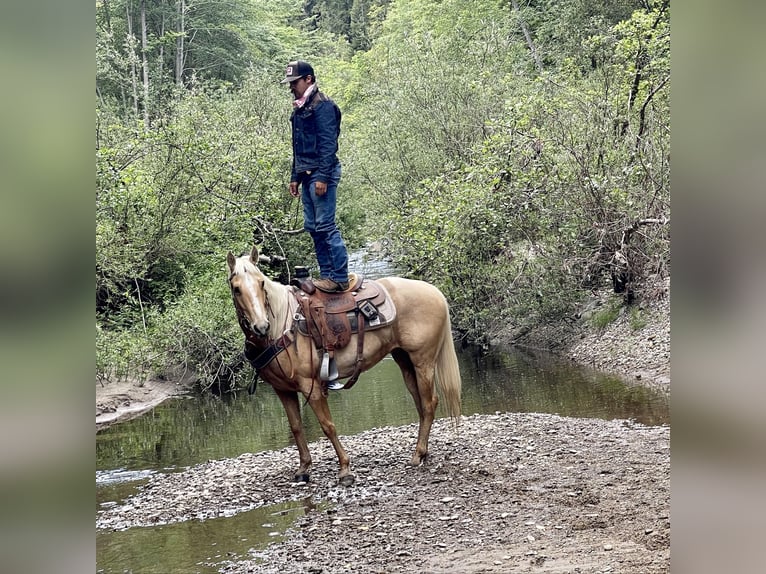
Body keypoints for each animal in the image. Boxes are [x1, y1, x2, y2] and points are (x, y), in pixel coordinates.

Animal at [225, 248, 464, 486]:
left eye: (261, 283)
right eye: (236, 289)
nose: (261, 326)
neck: (282, 327)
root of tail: (434, 291)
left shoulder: (310, 385)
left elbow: (327, 425)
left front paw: (345, 470)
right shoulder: (283, 389)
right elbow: (296, 427)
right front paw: (303, 468)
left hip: (423, 361)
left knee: (429, 403)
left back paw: (418, 454)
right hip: (404, 361)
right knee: (420, 403)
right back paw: (423, 452)